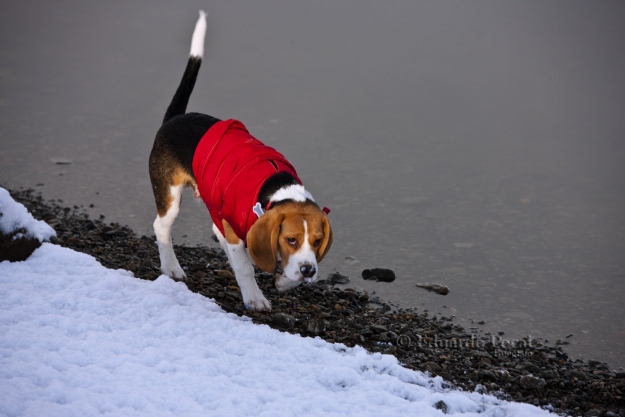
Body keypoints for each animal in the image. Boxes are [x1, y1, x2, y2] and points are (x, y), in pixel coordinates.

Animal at [148, 10, 332, 312]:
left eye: (317, 241)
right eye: (291, 240)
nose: (308, 271)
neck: (276, 189)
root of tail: (175, 118)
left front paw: (284, 281)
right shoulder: (237, 233)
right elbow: (245, 267)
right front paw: (255, 298)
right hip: (169, 194)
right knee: (161, 227)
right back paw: (171, 268)